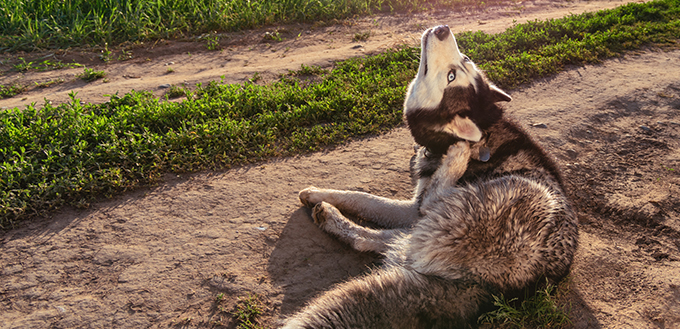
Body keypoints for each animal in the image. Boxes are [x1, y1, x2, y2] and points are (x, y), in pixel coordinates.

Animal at [284, 25, 576, 328]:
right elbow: (365, 199)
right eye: (465, 60)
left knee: (403, 229)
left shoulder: (415, 208)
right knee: (386, 241)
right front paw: (317, 194)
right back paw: (328, 216)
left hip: (522, 199)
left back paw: (455, 159)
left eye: (451, 77)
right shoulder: (412, 209)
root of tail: (493, 290)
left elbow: (366, 198)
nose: (443, 29)